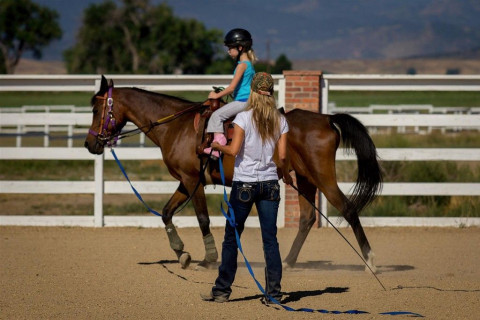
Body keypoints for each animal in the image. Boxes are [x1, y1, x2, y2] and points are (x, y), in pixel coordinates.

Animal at [84, 75, 380, 272]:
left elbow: (202, 218)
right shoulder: (185, 181)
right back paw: (288, 262)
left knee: (348, 209)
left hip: (322, 177)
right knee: (307, 219)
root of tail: (326, 118)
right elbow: (166, 212)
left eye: (96, 109)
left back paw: (370, 262)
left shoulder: (193, 180)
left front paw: (208, 259)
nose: (89, 144)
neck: (177, 126)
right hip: (305, 178)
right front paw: (181, 253)